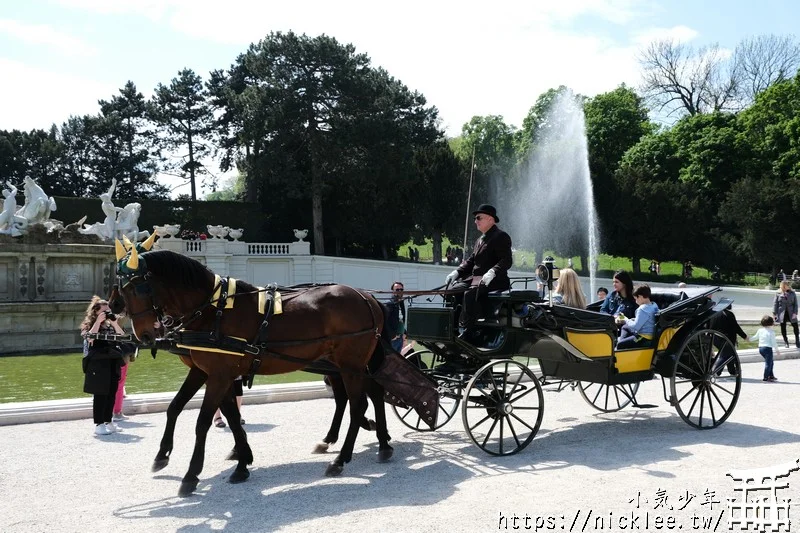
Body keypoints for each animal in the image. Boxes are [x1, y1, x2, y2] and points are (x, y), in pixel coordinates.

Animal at [111, 245, 398, 494]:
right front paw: (236, 460)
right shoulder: (205, 372)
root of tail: (366, 296)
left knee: (358, 404)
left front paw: (192, 475)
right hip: (346, 365)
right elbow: (183, 409)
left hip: (351, 365)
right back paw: (375, 442)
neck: (213, 310)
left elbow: (203, 421)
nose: (144, 335)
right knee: (359, 397)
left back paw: (342, 458)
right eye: (121, 289)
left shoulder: (219, 375)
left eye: (137, 288)